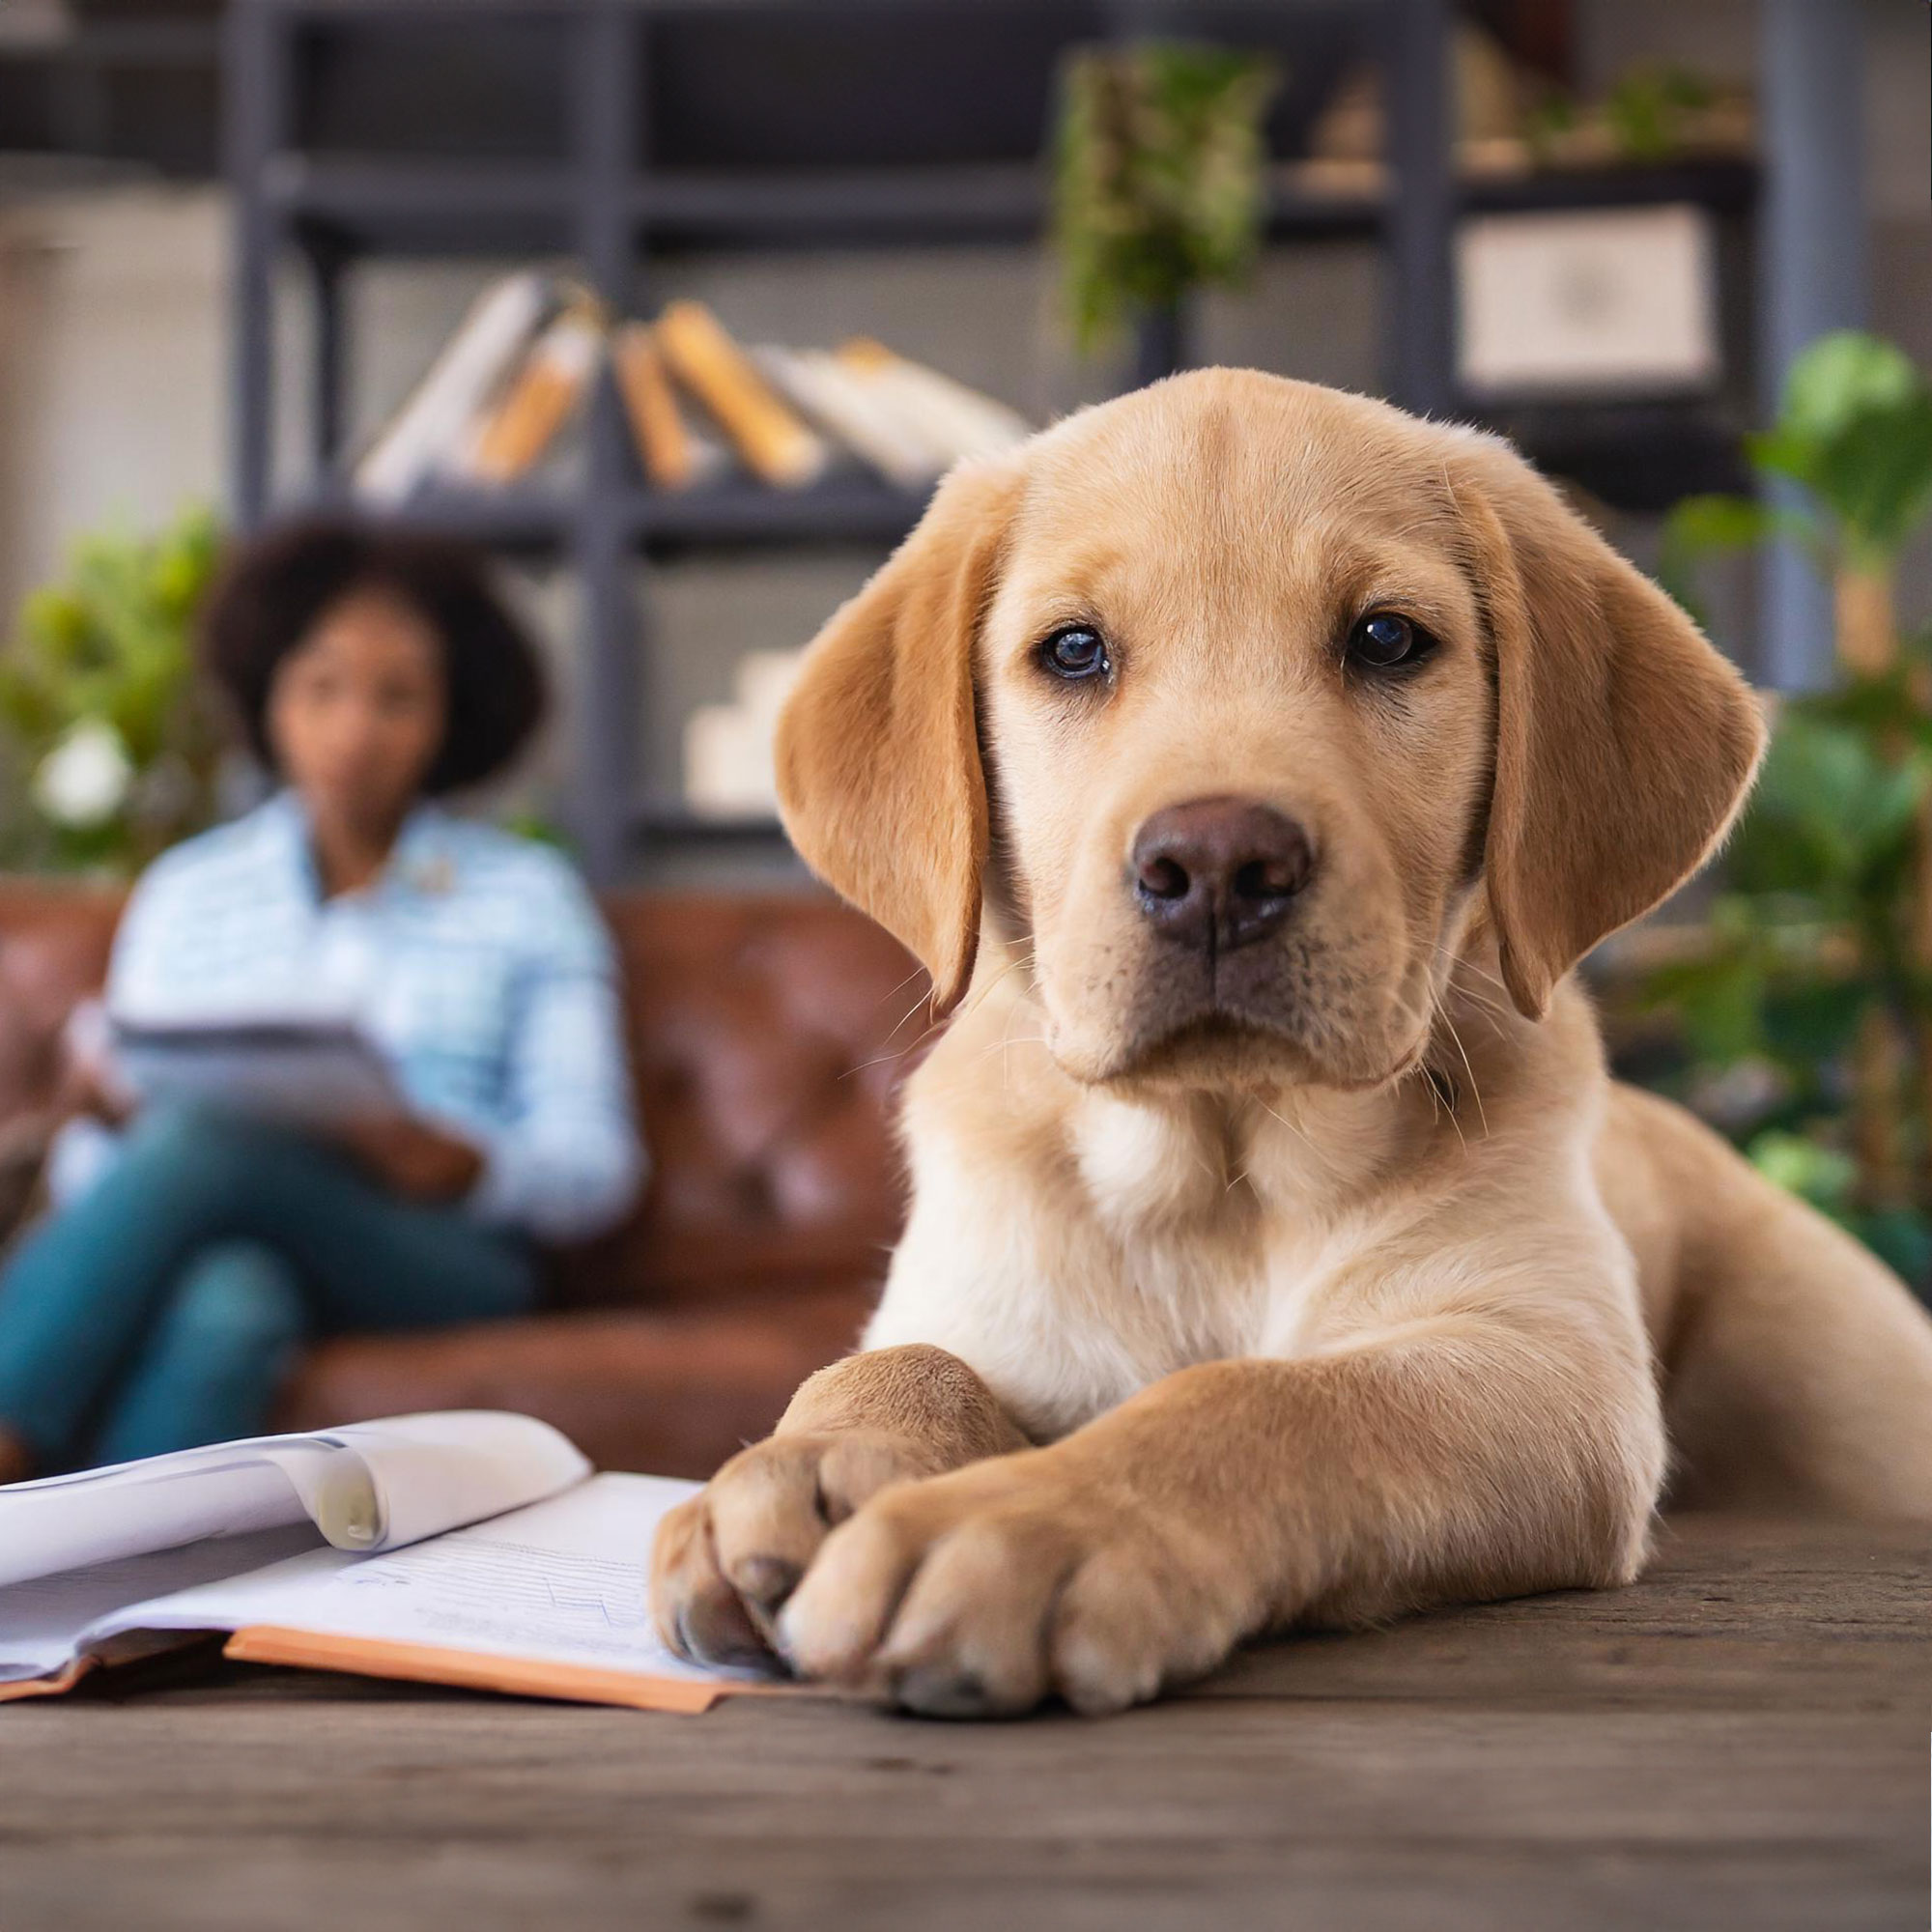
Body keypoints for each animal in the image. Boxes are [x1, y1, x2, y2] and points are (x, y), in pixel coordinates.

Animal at [653, 373, 1932, 1723]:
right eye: (1073, 650)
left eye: (1384, 639)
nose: (1216, 864)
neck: (1219, 1173)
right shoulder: (978, 1297)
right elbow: (905, 1356)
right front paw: (807, 1459)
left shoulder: (1545, 1366)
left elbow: (1269, 1397)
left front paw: (1029, 1521)